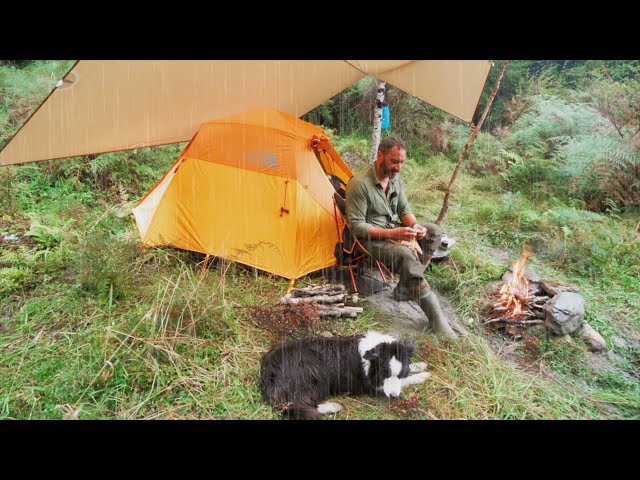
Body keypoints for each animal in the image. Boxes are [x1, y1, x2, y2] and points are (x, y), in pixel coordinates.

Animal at [260, 332, 430, 418]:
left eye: (400, 374)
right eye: (384, 374)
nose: (394, 397)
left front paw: (420, 365)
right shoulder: (371, 387)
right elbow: (408, 381)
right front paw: (423, 375)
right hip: (316, 375)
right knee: (299, 405)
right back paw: (333, 406)